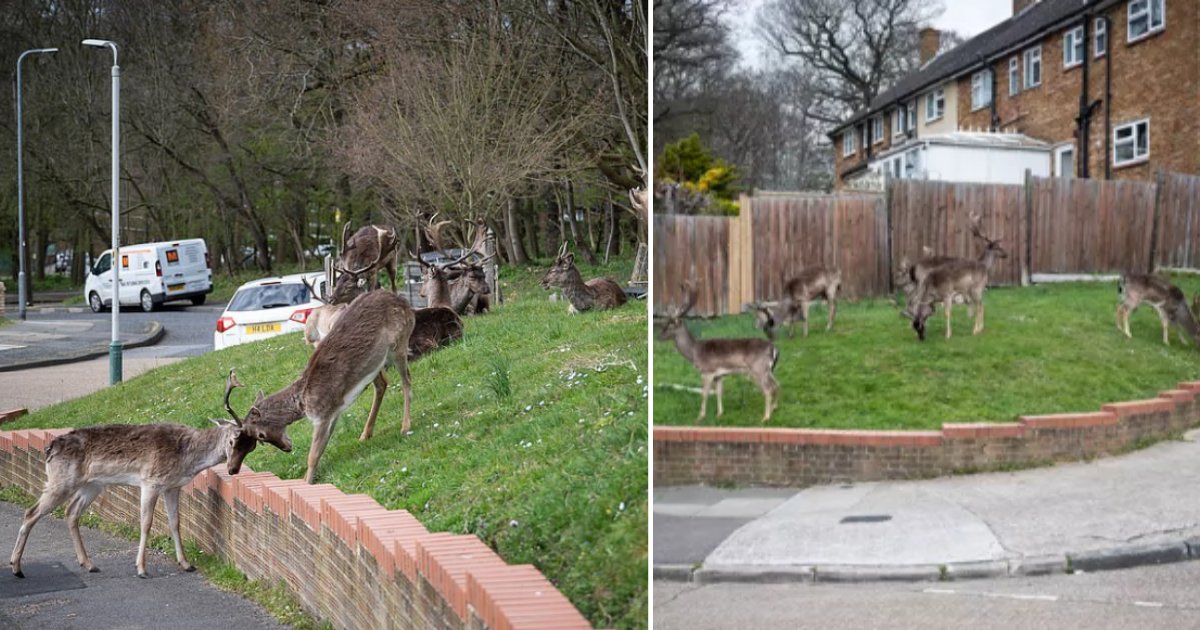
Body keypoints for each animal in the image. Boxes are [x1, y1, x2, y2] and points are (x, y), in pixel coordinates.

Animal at [9, 369, 258, 580]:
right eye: (232, 440)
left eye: (252, 446)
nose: (233, 470)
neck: (186, 457)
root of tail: (49, 449)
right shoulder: (150, 481)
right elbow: (146, 523)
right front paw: (141, 569)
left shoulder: (172, 486)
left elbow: (175, 522)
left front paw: (186, 564)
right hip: (61, 480)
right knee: (31, 512)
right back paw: (17, 567)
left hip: (92, 484)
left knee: (71, 512)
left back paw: (89, 564)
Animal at [229, 289, 417, 482]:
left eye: (260, 435)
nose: (286, 448)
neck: (303, 402)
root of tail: (405, 302)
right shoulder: (334, 411)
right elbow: (320, 451)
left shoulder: (322, 415)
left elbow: (312, 456)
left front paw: (308, 482)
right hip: (377, 363)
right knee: (383, 383)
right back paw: (365, 435)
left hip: (399, 343)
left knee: (407, 381)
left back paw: (405, 427)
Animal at [662, 284, 782, 422]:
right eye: (665, 322)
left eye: (671, 324)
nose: (660, 335)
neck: (694, 352)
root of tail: (774, 348)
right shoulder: (719, 375)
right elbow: (719, 393)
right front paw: (719, 414)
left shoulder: (707, 371)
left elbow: (704, 393)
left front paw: (700, 416)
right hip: (769, 370)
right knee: (777, 384)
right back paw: (774, 408)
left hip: (758, 369)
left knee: (768, 389)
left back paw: (765, 417)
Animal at [912, 212, 1008, 340]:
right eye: (916, 327)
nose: (1006, 254)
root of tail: (984, 269)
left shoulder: (947, 293)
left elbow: (947, 313)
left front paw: (948, 335)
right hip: (976, 290)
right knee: (981, 305)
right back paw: (979, 329)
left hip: (976, 289)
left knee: (980, 305)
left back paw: (975, 330)